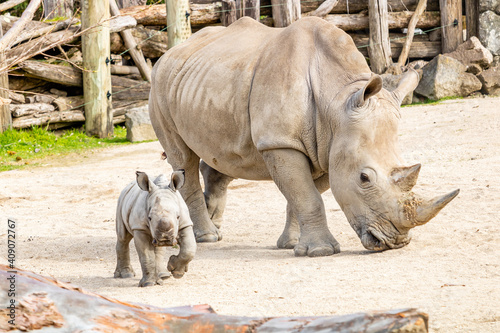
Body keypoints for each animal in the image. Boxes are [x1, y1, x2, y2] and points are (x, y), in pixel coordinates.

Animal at [147, 16, 458, 256]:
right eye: (364, 178)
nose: (395, 242)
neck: (338, 100)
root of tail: (170, 53)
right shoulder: (280, 142)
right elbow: (307, 196)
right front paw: (320, 252)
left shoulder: (327, 147)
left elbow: (302, 195)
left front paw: (292, 245)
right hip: (159, 85)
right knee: (182, 159)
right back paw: (208, 237)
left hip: (207, 81)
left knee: (222, 157)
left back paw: (216, 228)